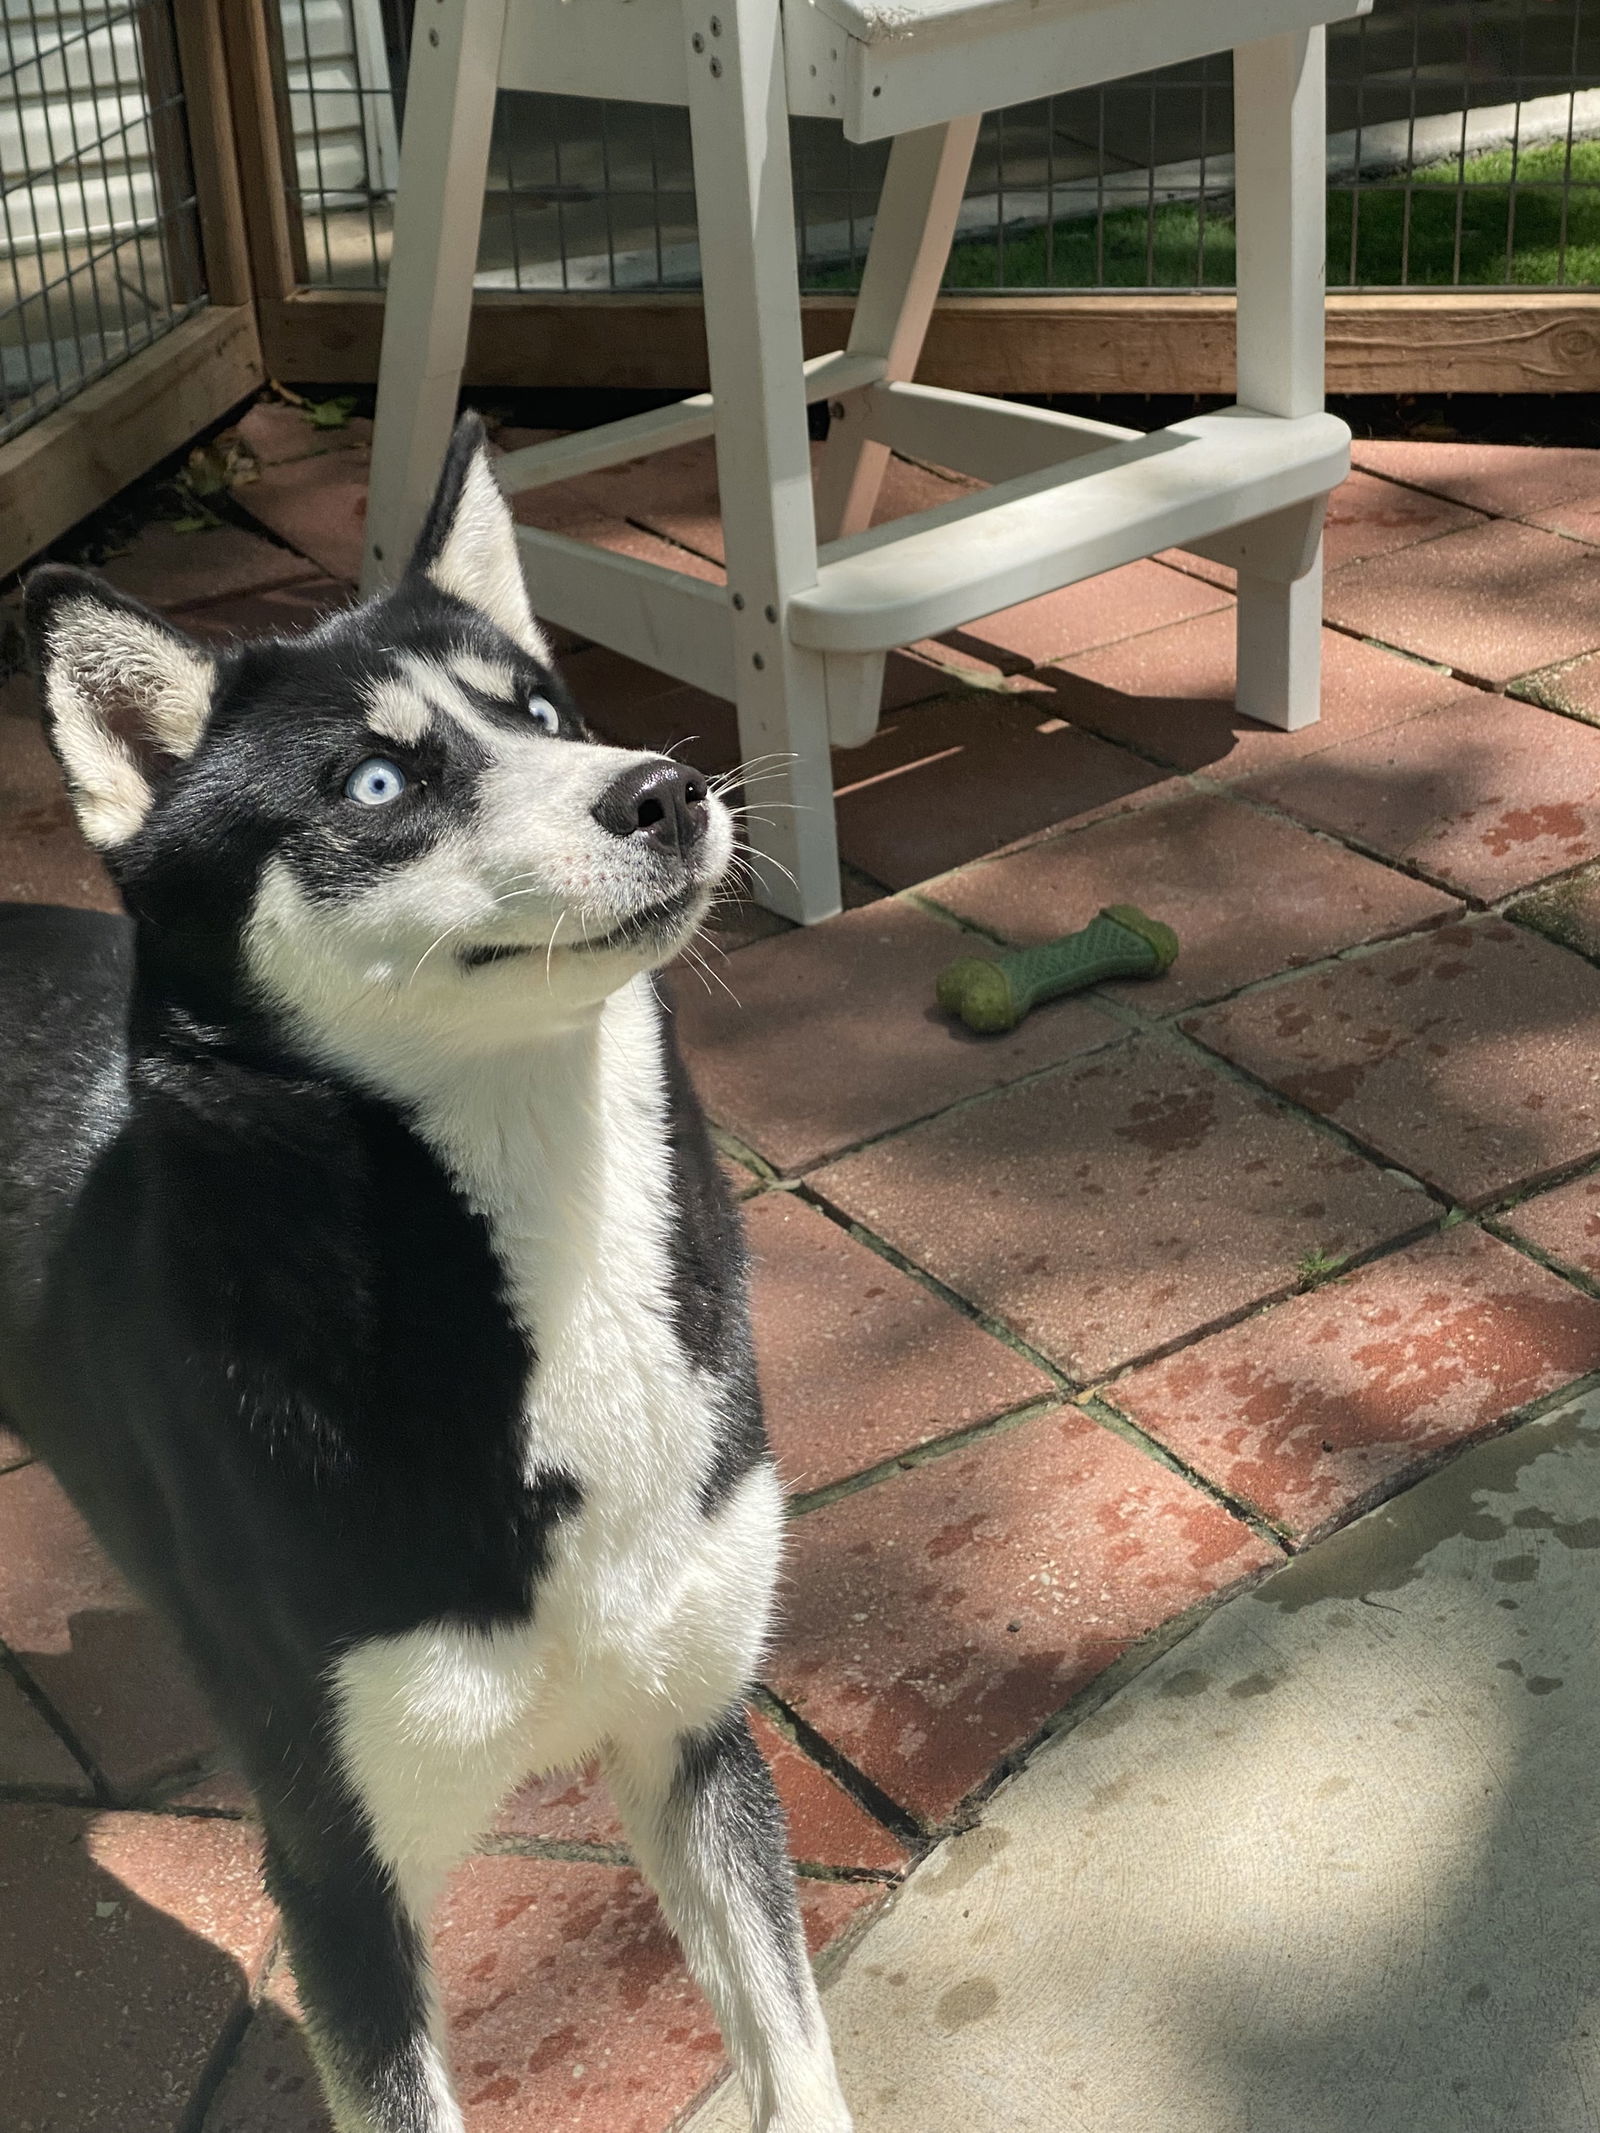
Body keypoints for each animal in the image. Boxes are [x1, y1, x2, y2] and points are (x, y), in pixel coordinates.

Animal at [0, 415, 853, 2133]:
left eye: (541, 711)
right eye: (381, 780)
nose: (666, 789)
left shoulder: (694, 1738)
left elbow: (798, 2062)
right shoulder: (339, 1873)